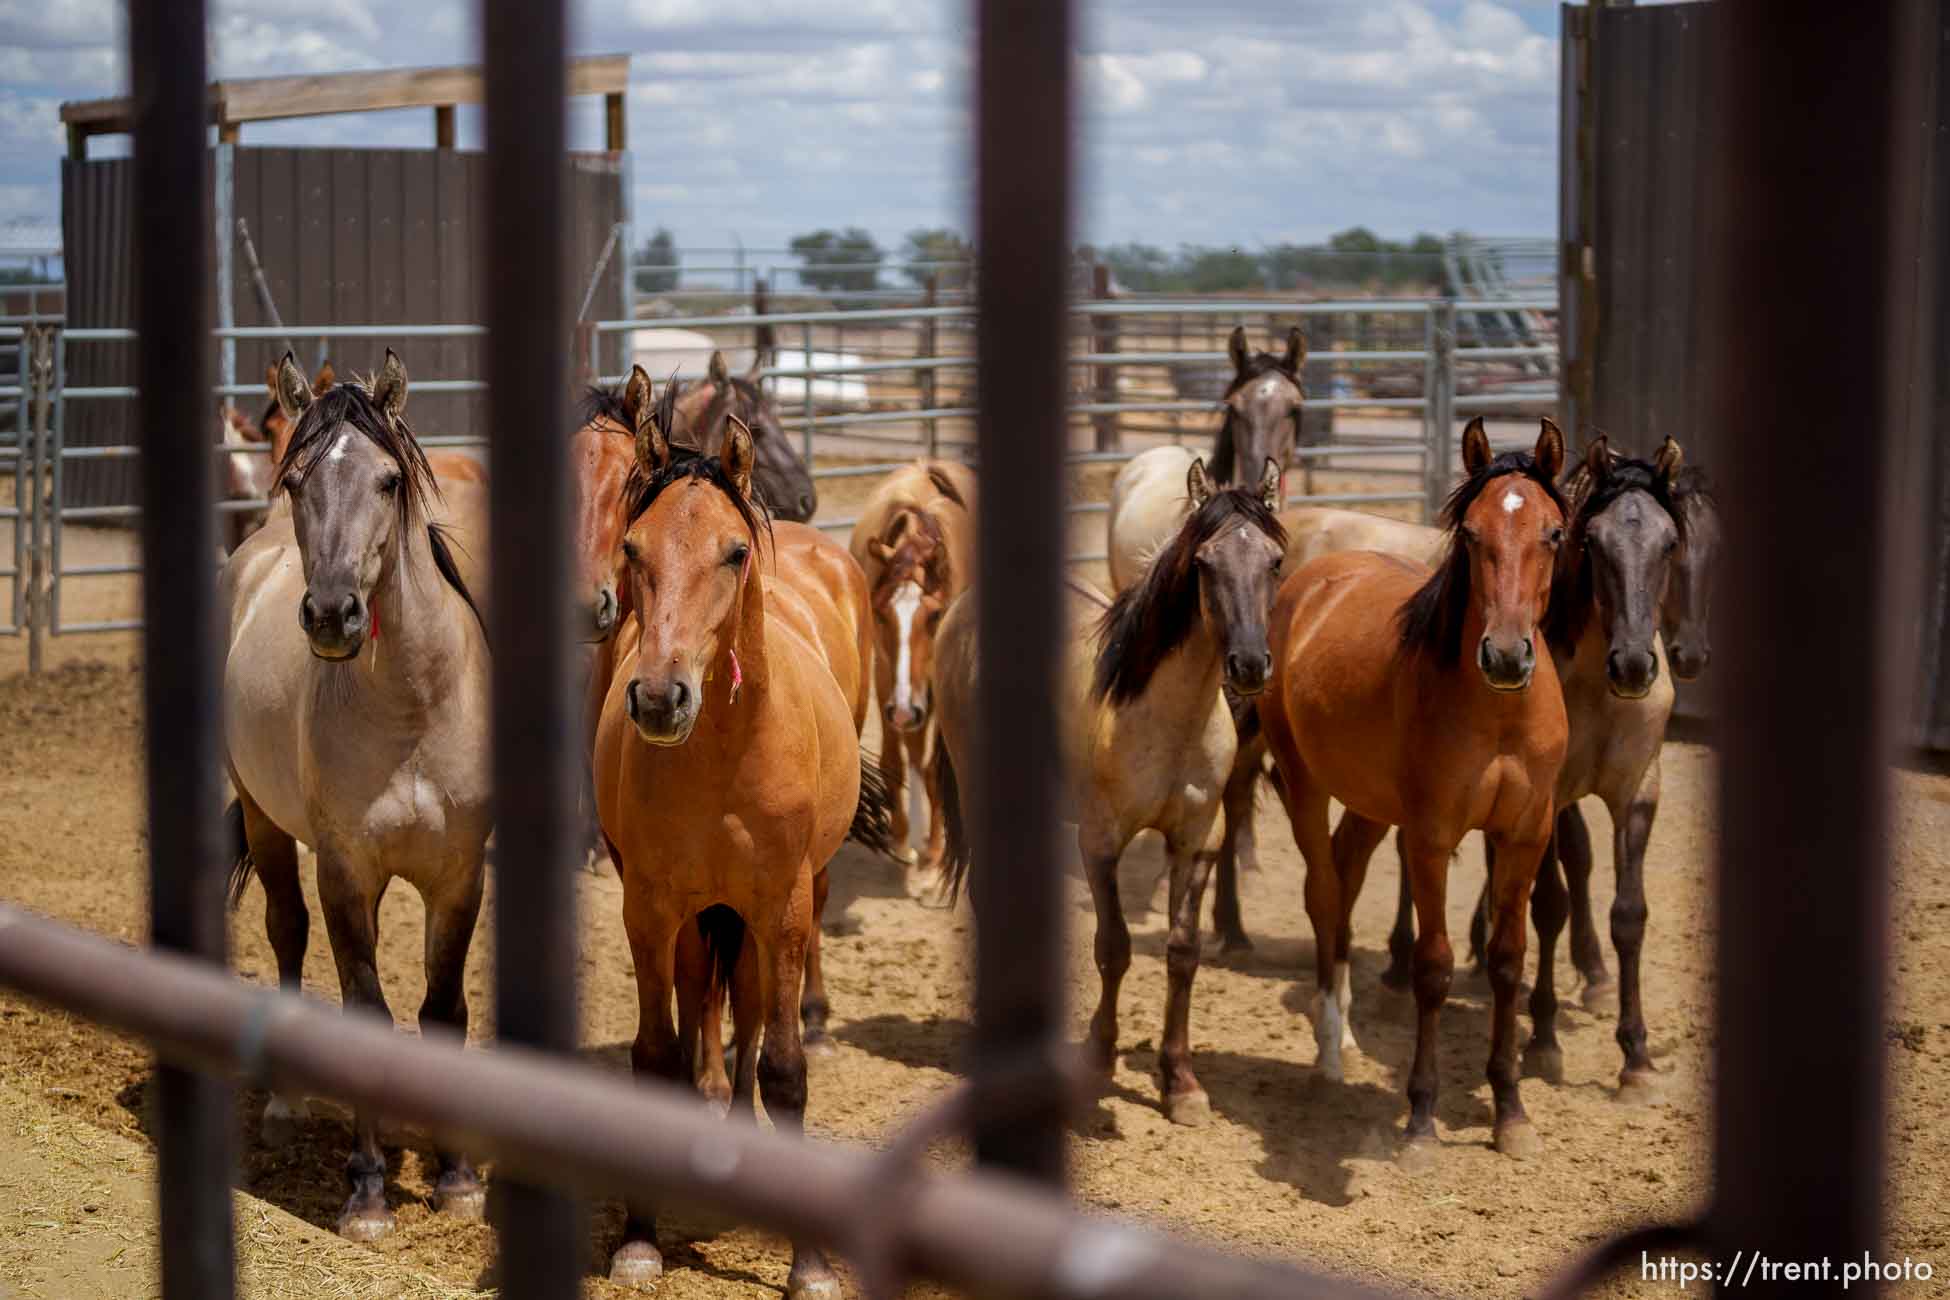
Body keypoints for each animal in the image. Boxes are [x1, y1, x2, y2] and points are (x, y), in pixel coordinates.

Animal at [218, 352, 495, 1239]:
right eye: (297, 478)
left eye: (387, 479)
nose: (333, 614)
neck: (410, 709)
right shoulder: (346, 871)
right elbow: (365, 1011)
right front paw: (368, 1194)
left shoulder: (457, 874)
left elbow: (444, 1010)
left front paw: (457, 1176)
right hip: (266, 824)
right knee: (286, 932)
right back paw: (286, 1104)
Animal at [850, 458, 975, 873]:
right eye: (881, 614)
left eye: (934, 615)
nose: (904, 711)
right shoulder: (886, 674)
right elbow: (897, 760)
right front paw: (902, 839)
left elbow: (936, 767)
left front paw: (935, 850)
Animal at [936, 461, 1287, 1122]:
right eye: (1204, 563)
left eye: (1276, 561)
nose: (1250, 666)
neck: (1166, 717)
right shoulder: (1100, 842)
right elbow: (1114, 946)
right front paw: (1098, 1057)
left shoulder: (1197, 841)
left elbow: (1182, 953)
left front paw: (1180, 1083)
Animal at [1255, 417, 1575, 1161]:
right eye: (1472, 536)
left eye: (1552, 533)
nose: (1506, 655)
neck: (1499, 714)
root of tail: (1312, 581)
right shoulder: (1430, 838)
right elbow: (1433, 967)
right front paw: (1422, 1120)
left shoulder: (1525, 835)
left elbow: (1507, 961)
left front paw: (1511, 1113)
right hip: (1306, 785)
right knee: (1324, 895)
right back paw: (1329, 1054)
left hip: (1371, 806)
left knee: (1345, 874)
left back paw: (1343, 1038)